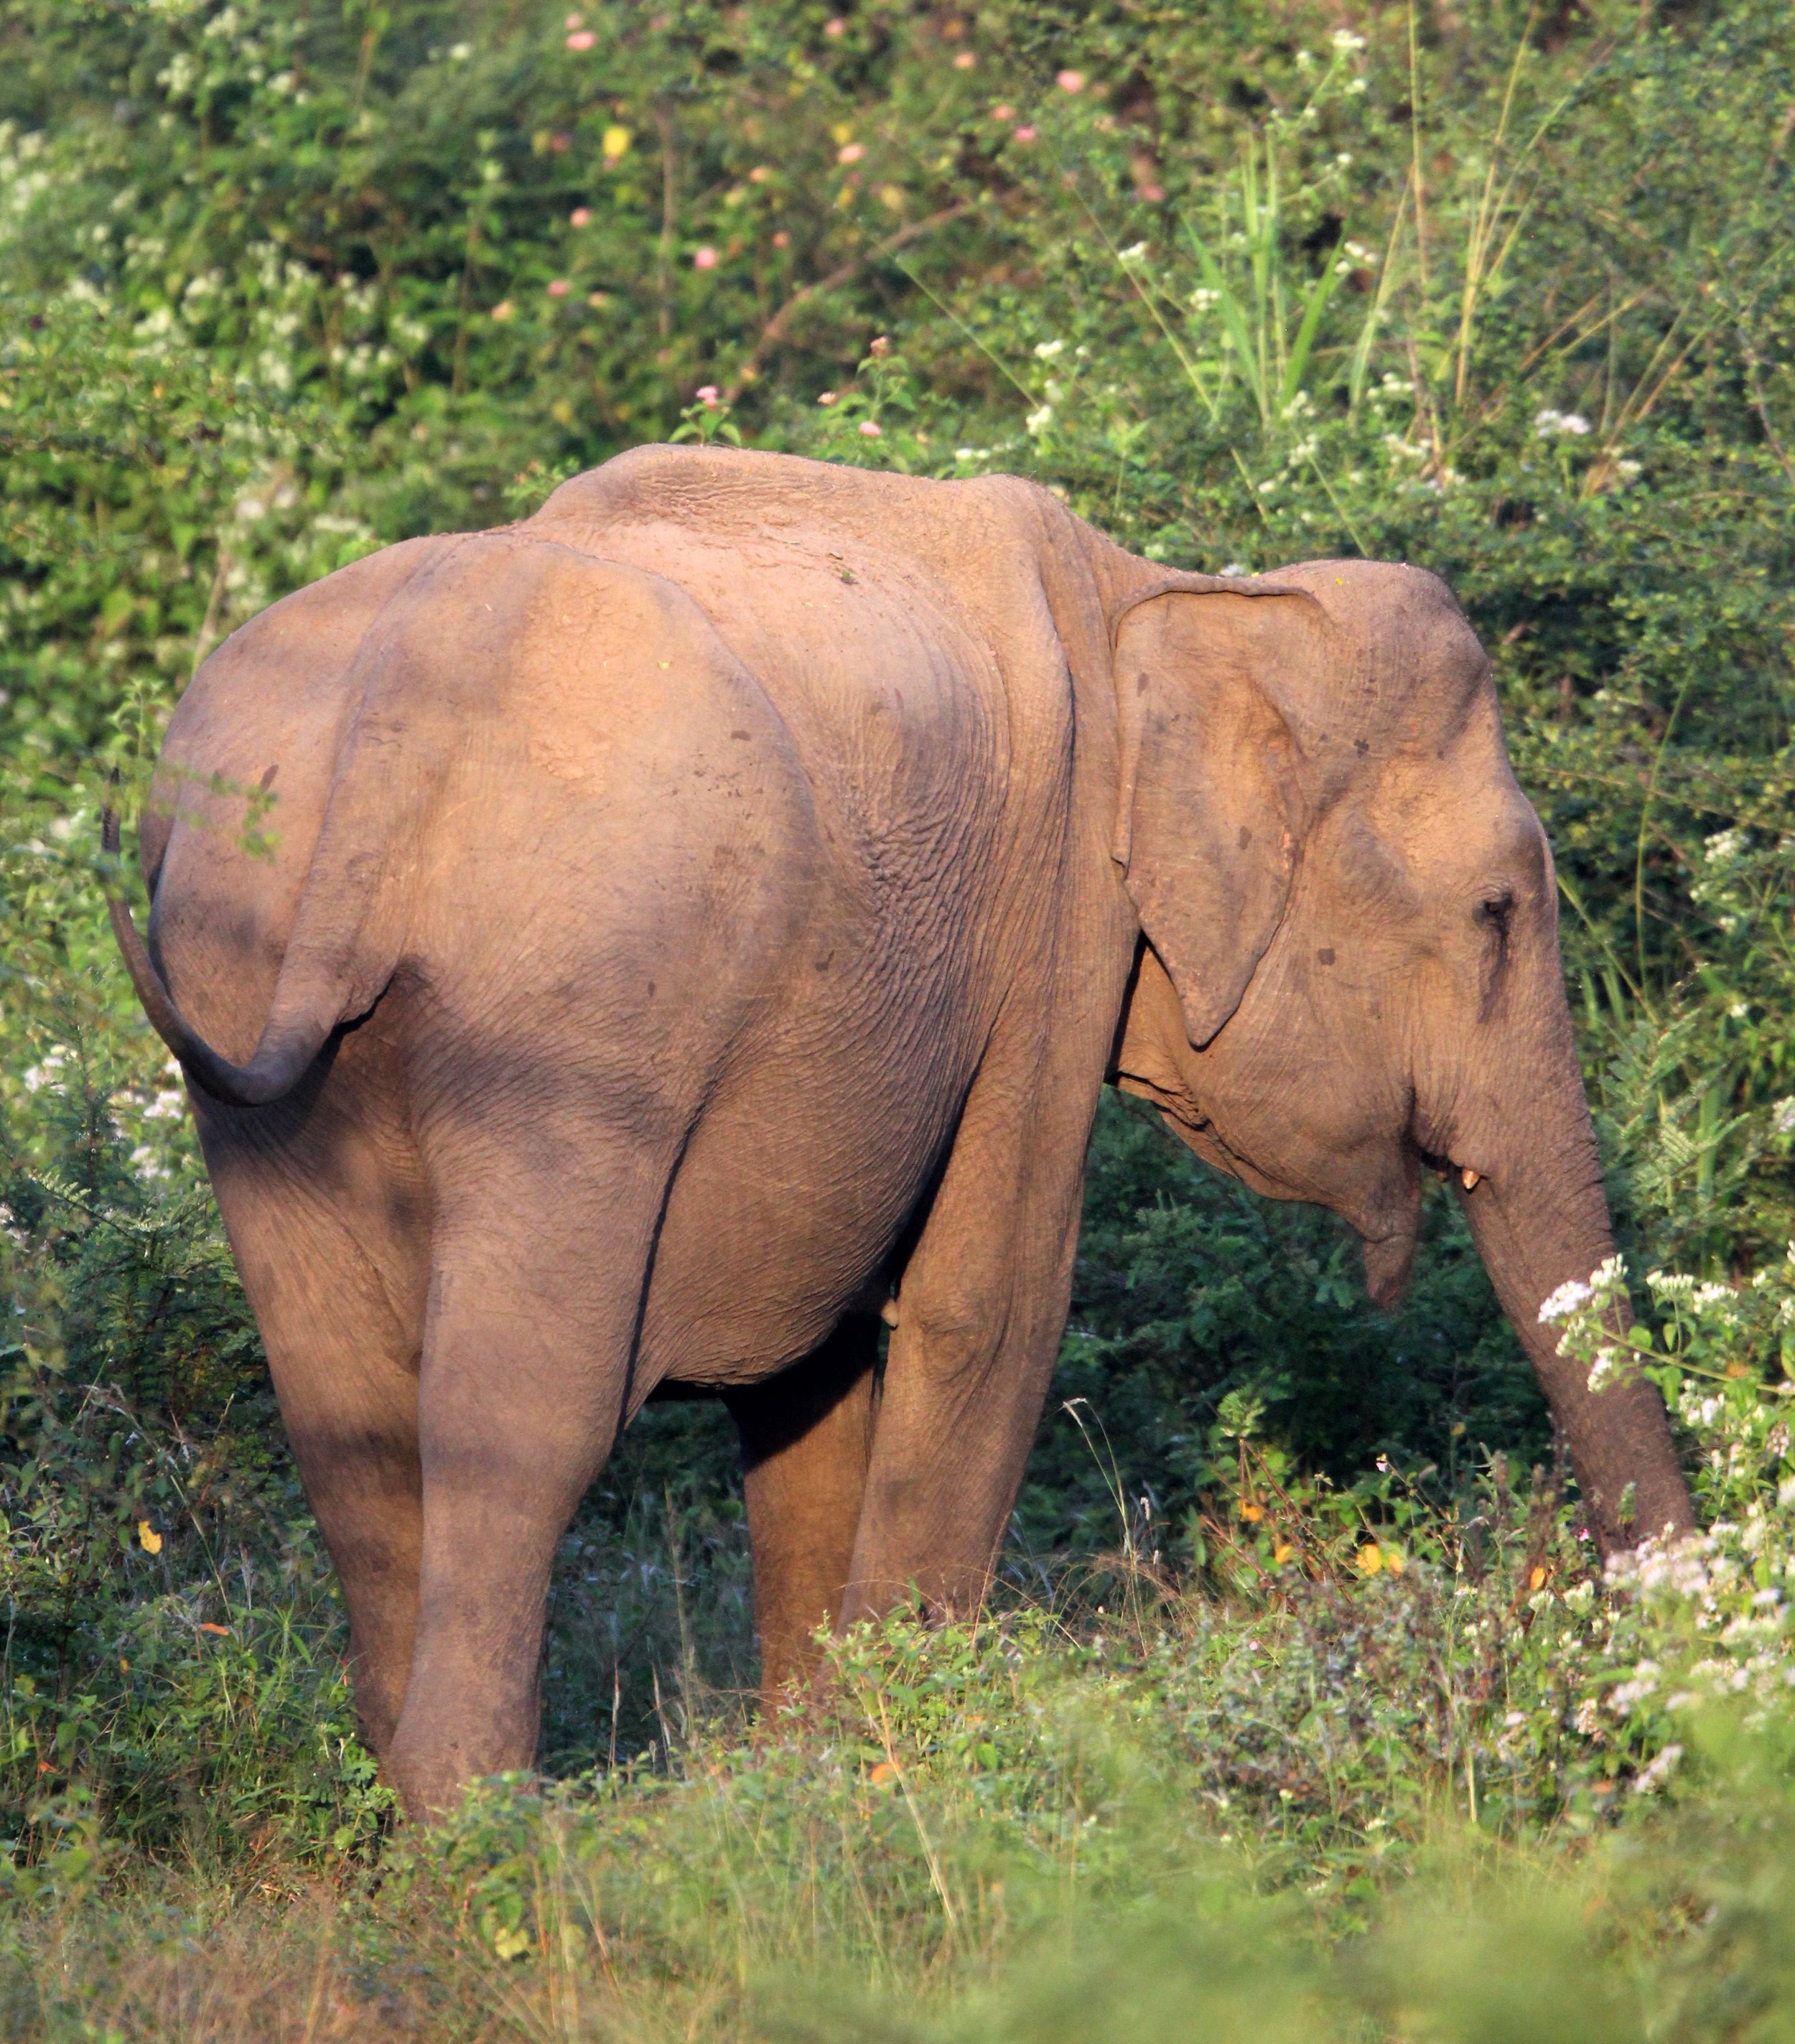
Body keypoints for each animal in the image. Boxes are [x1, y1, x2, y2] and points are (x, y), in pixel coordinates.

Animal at [103, 444, 1693, 1815]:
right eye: (1495, 913)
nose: (1659, 1668)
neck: (1169, 593)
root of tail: (401, 711)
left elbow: (800, 1376)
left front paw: (803, 1770)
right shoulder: (1054, 917)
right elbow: (988, 1309)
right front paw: (894, 1765)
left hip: (248, 983)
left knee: (345, 1421)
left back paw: (393, 1807)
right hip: (580, 1019)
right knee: (517, 1420)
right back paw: (485, 1833)